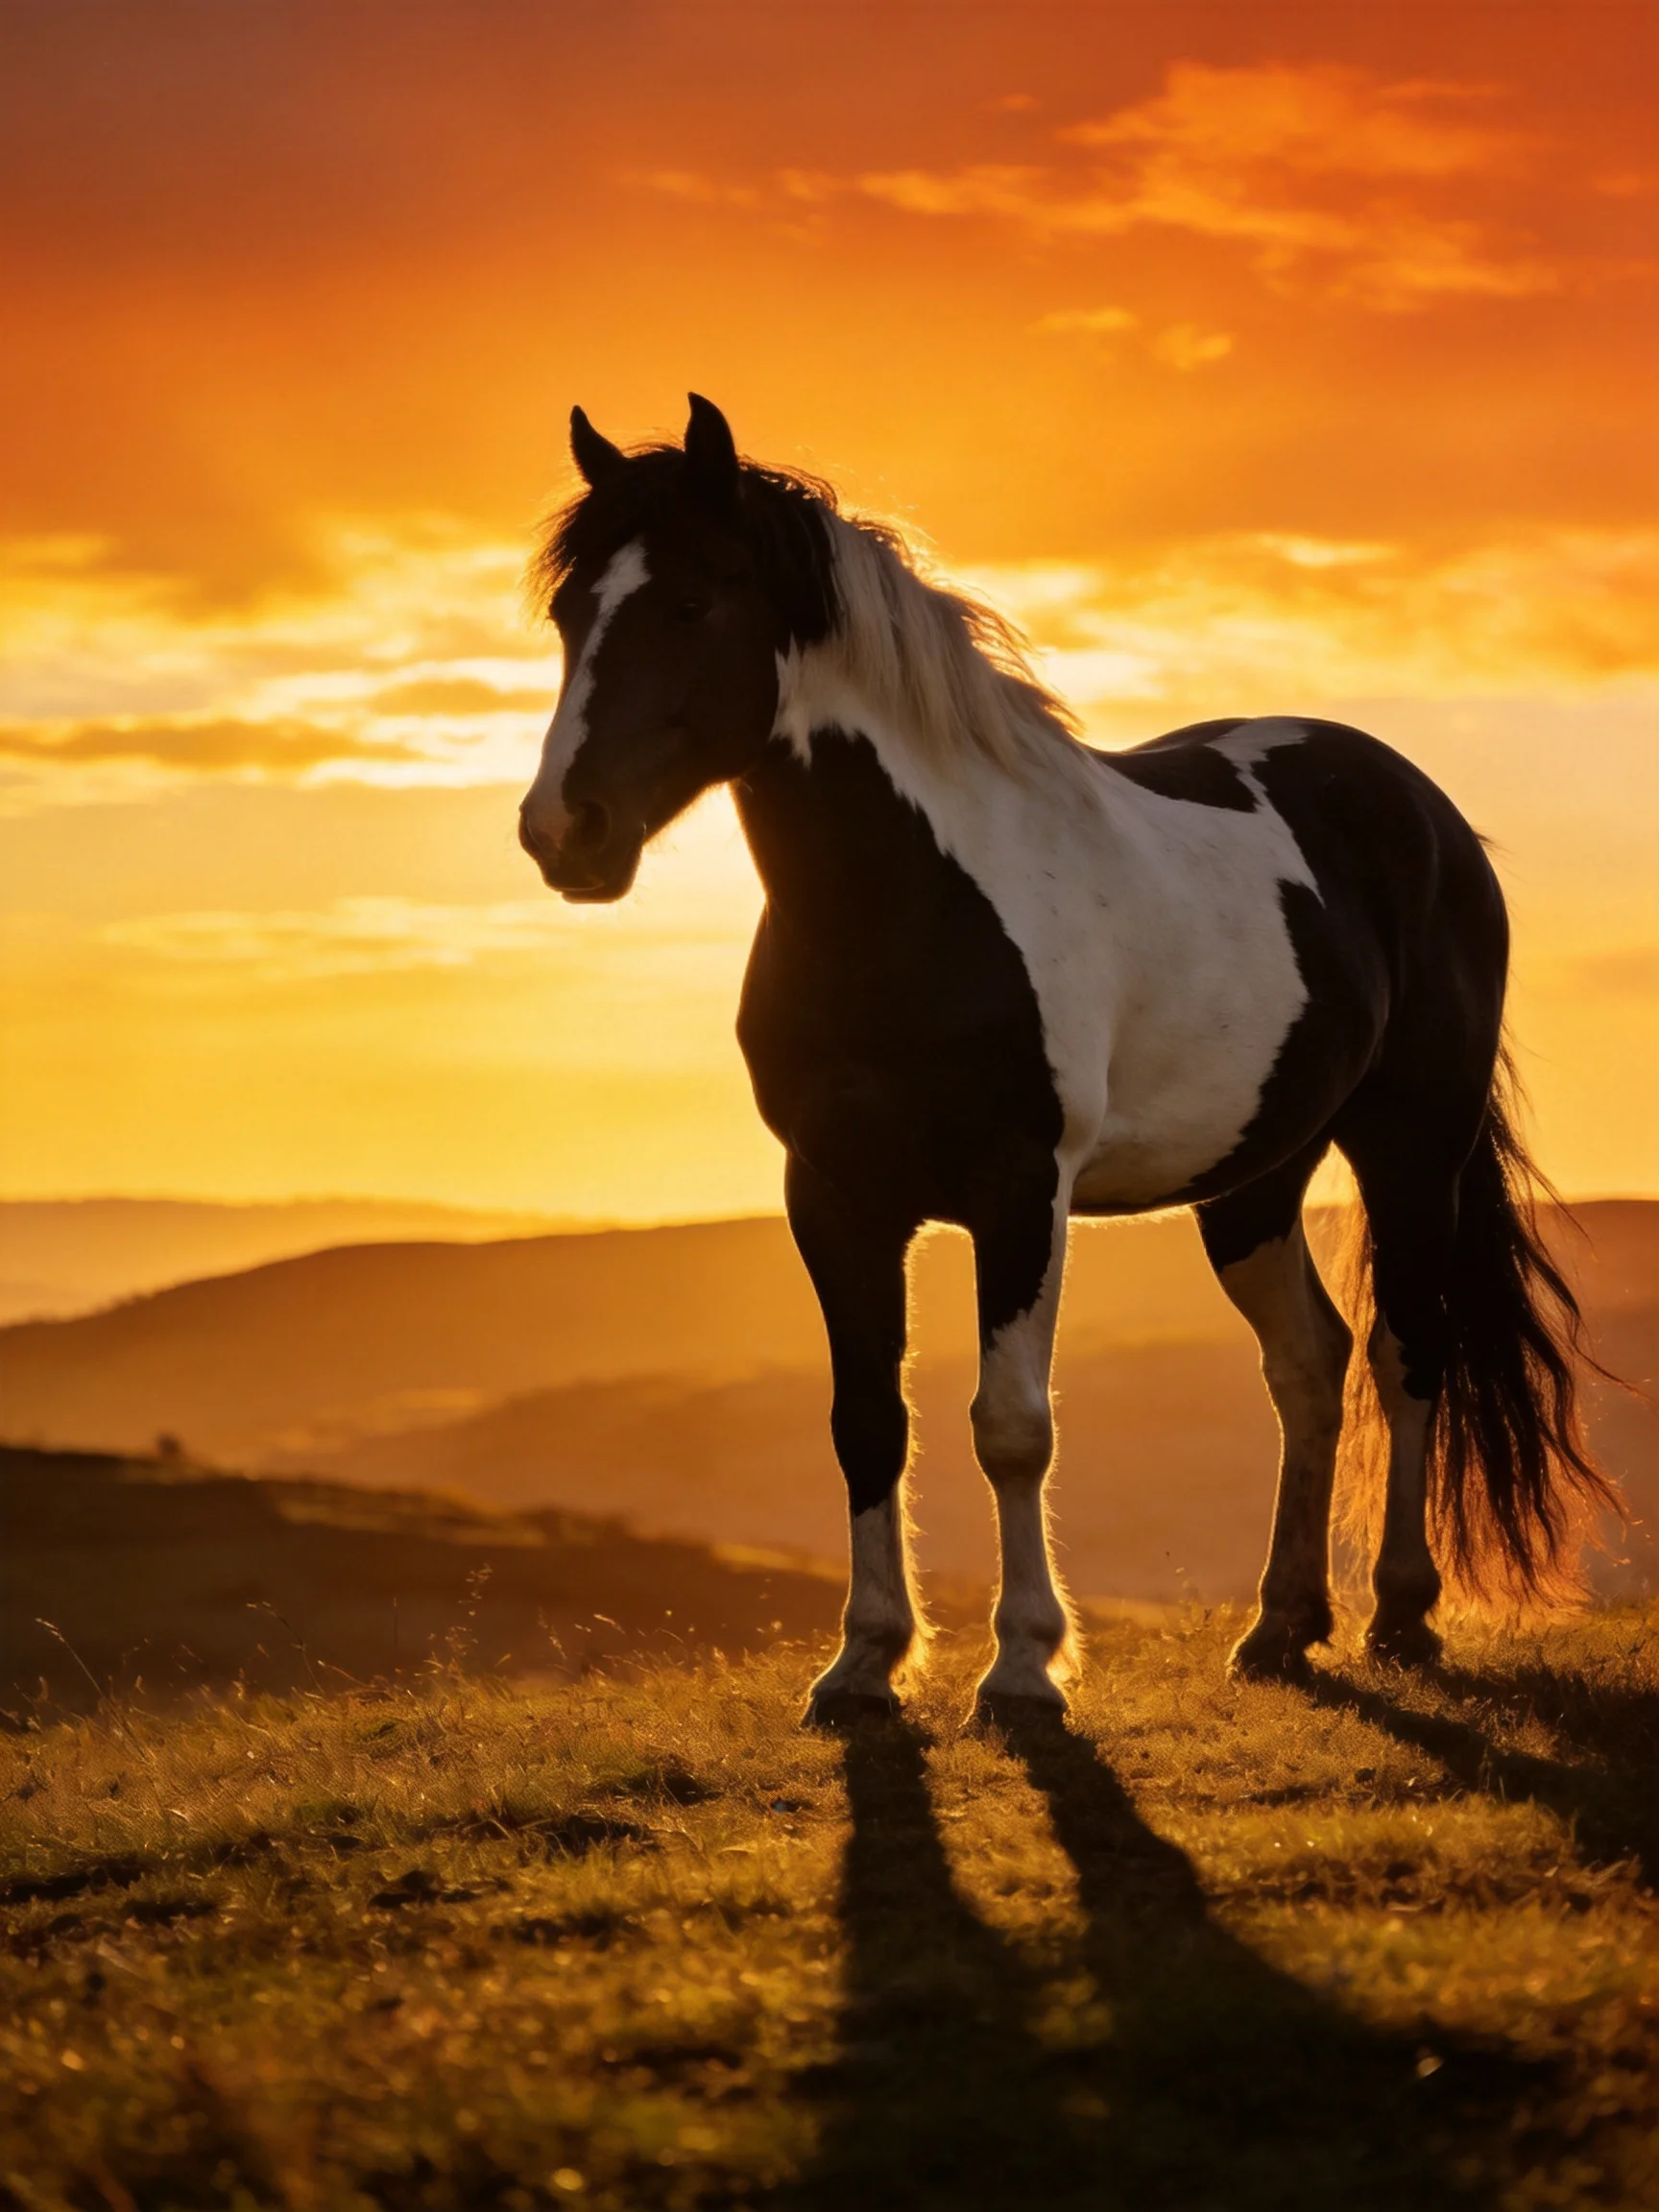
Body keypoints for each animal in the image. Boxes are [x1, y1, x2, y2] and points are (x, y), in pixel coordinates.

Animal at [518, 394, 1611, 1725]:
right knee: (1310, 1363)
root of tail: (1421, 806)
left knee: (1409, 1352)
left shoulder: (1018, 1193)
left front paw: (1025, 1667)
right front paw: (864, 1662)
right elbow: (865, 1419)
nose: (563, 832)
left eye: (690, 603)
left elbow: (1012, 1425)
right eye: (572, 614)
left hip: (1414, 1146)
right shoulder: (831, 1194)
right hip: (1256, 1178)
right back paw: (1281, 1628)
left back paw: (1401, 1614)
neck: (913, 906)